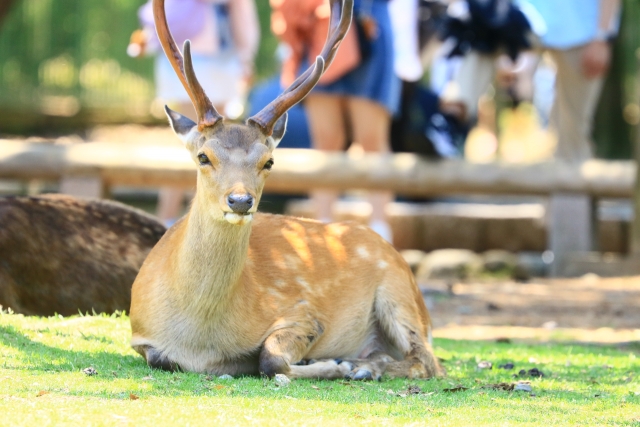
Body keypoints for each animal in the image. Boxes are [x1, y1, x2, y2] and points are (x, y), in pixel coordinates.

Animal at [129, 0, 440, 382]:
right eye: (204, 156)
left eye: (269, 162)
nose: (240, 200)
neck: (199, 342)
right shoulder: (139, 333)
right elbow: (160, 358)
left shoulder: (305, 312)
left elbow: (271, 358)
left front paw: (332, 364)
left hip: (398, 291)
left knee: (427, 360)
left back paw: (361, 366)